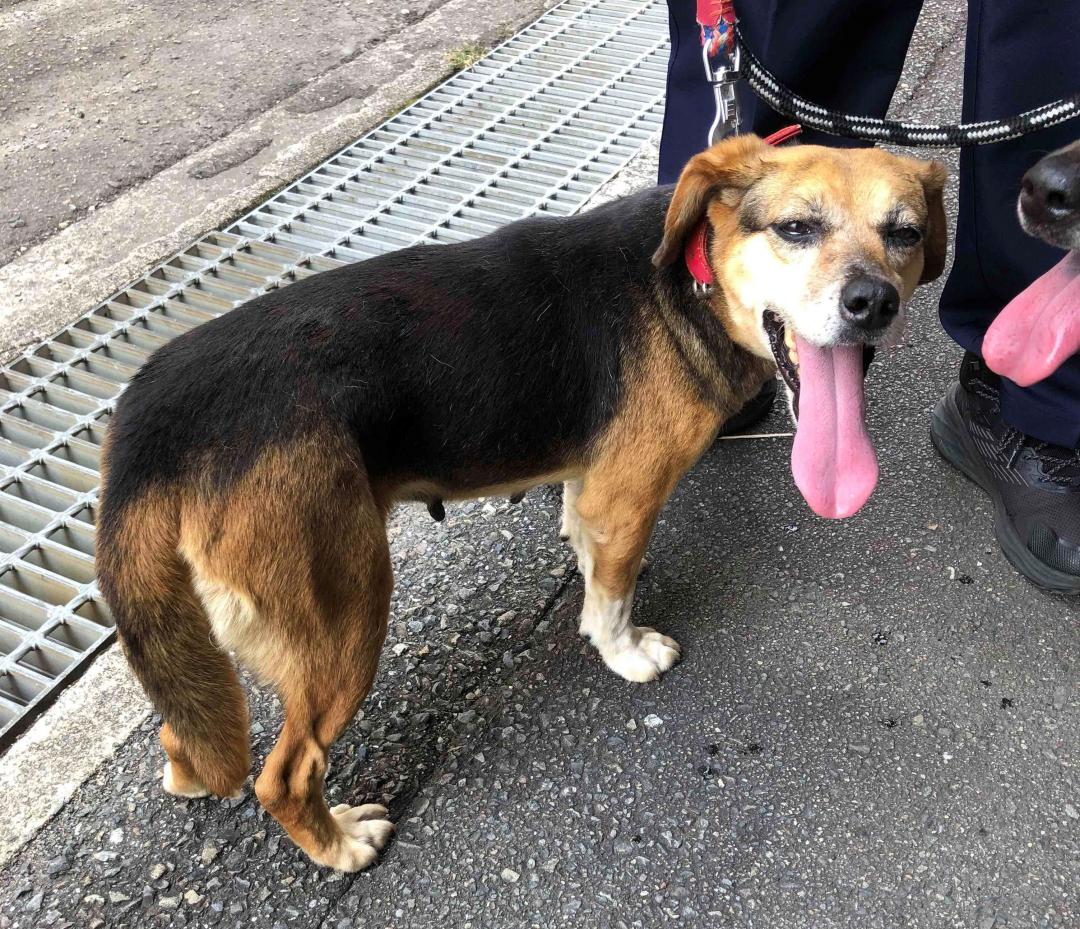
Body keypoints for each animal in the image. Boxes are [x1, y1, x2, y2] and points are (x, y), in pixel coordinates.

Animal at [97, 134, 947, 871]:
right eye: (796, 227)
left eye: (903, 234)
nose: (872, 303)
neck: (689, 281)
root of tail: (152, 425)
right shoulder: (625, 498)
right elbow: (612, 595)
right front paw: (625, 652)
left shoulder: (591, 488)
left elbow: (588, 553)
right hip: (343, 614)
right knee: (284, 774)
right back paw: (340, 844)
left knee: (192, 729)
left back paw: (190, 774)